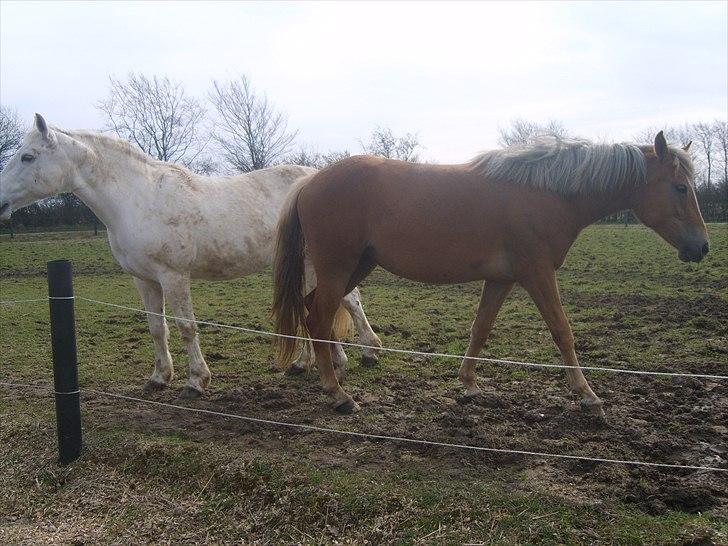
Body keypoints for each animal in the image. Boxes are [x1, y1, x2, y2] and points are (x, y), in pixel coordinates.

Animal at [0, 113, 384, 396]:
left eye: (28, 156)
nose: (0, 202)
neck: (139, 199)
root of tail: (315, 180)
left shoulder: (173, 276)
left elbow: (185, 326)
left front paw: (196, 382)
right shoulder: (143, 280)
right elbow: (157, 328)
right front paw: (159, 378)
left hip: (316, 264)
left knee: (347, 302)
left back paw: (367, 353)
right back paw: (305, 364)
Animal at [274, 132, 712, 412]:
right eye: (679, 187)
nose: (702, 247)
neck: (547, 193)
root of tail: (311, 181)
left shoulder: (502, 279)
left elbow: (481, 329)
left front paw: (468, 385)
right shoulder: (537, 274)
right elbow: (562, 332)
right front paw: (587, 394)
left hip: (356, 266)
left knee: (313, 312)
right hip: (339, 267)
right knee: (318, 317)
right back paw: (338, 395)